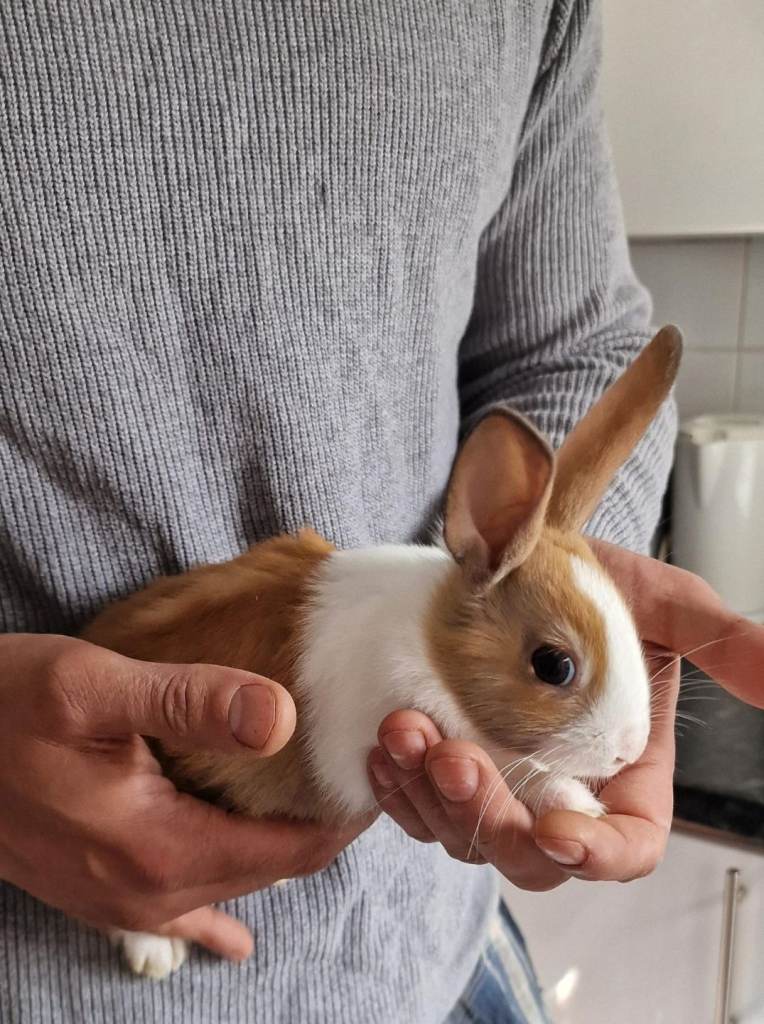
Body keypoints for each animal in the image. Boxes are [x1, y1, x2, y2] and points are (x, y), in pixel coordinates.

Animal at [82, 325, 682, 978]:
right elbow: (518, 768)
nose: (627, 752)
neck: (431, 644)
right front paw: (582, 807)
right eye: (555, 665)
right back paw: (153, 953)